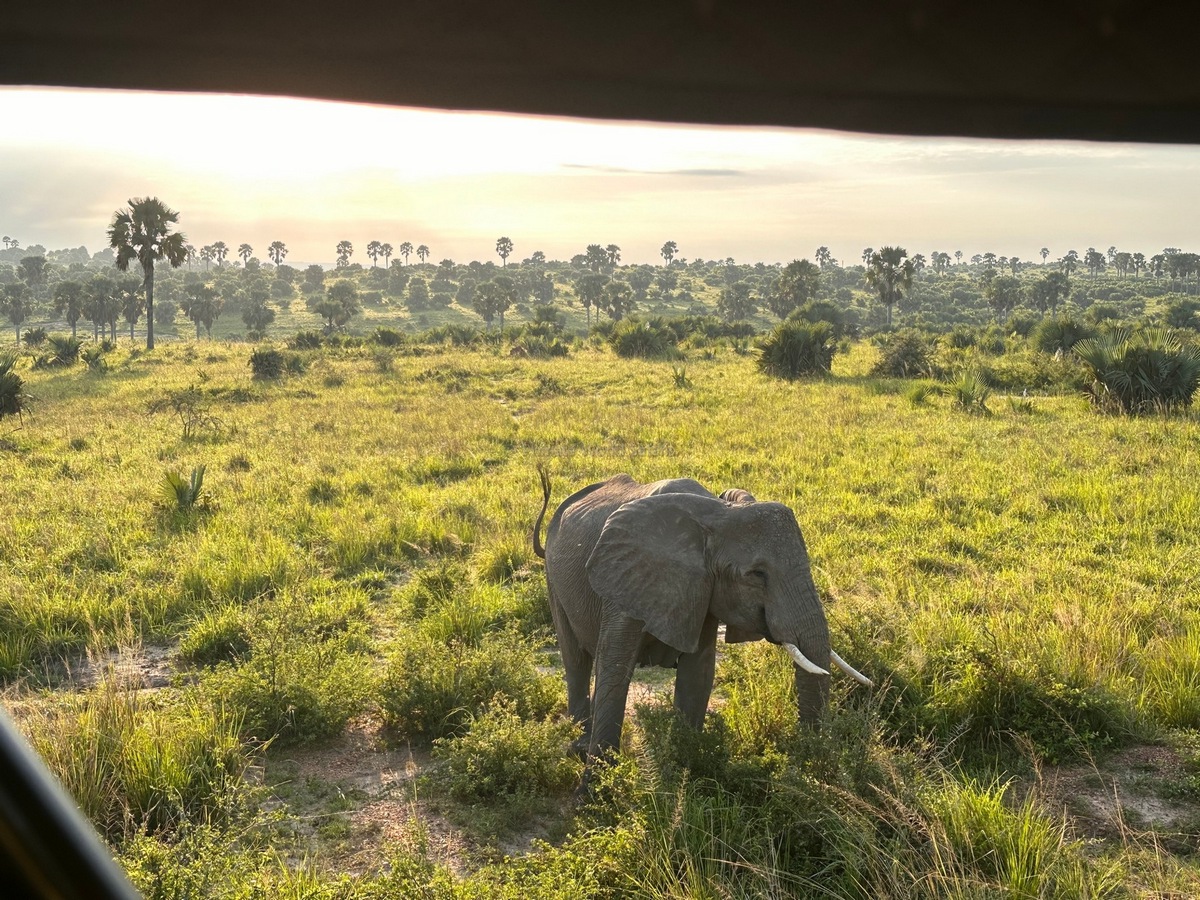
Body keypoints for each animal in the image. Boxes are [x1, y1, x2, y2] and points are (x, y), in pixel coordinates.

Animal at [537, 472, 873, 763]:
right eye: (757, 575)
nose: (807, 755)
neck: (717, 514)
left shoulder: (706, 589)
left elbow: (697, 674)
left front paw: (681, 765)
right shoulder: (628, 577)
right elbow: (615, 667)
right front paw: (597, 782)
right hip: (554, 579)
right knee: (575, 659)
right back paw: (578, 746)